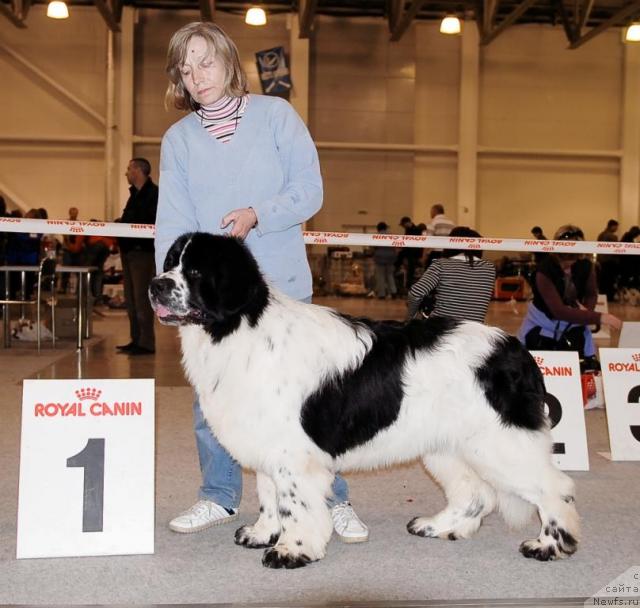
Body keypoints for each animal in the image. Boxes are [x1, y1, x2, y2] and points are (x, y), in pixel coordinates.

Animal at [149, 233, 580, 568]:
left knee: (553, 486)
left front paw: (292, 550)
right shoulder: (268, 444)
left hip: (501, 443)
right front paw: (262, 533)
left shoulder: (294, 455)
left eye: (196, 272)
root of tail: (515, 349)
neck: (239, 328)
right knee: (476, 493)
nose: (156, 285)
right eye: (170, 263)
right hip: (449, 445)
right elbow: (269, 496)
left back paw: (549, 545)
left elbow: (293, 503)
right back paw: (438, 527)